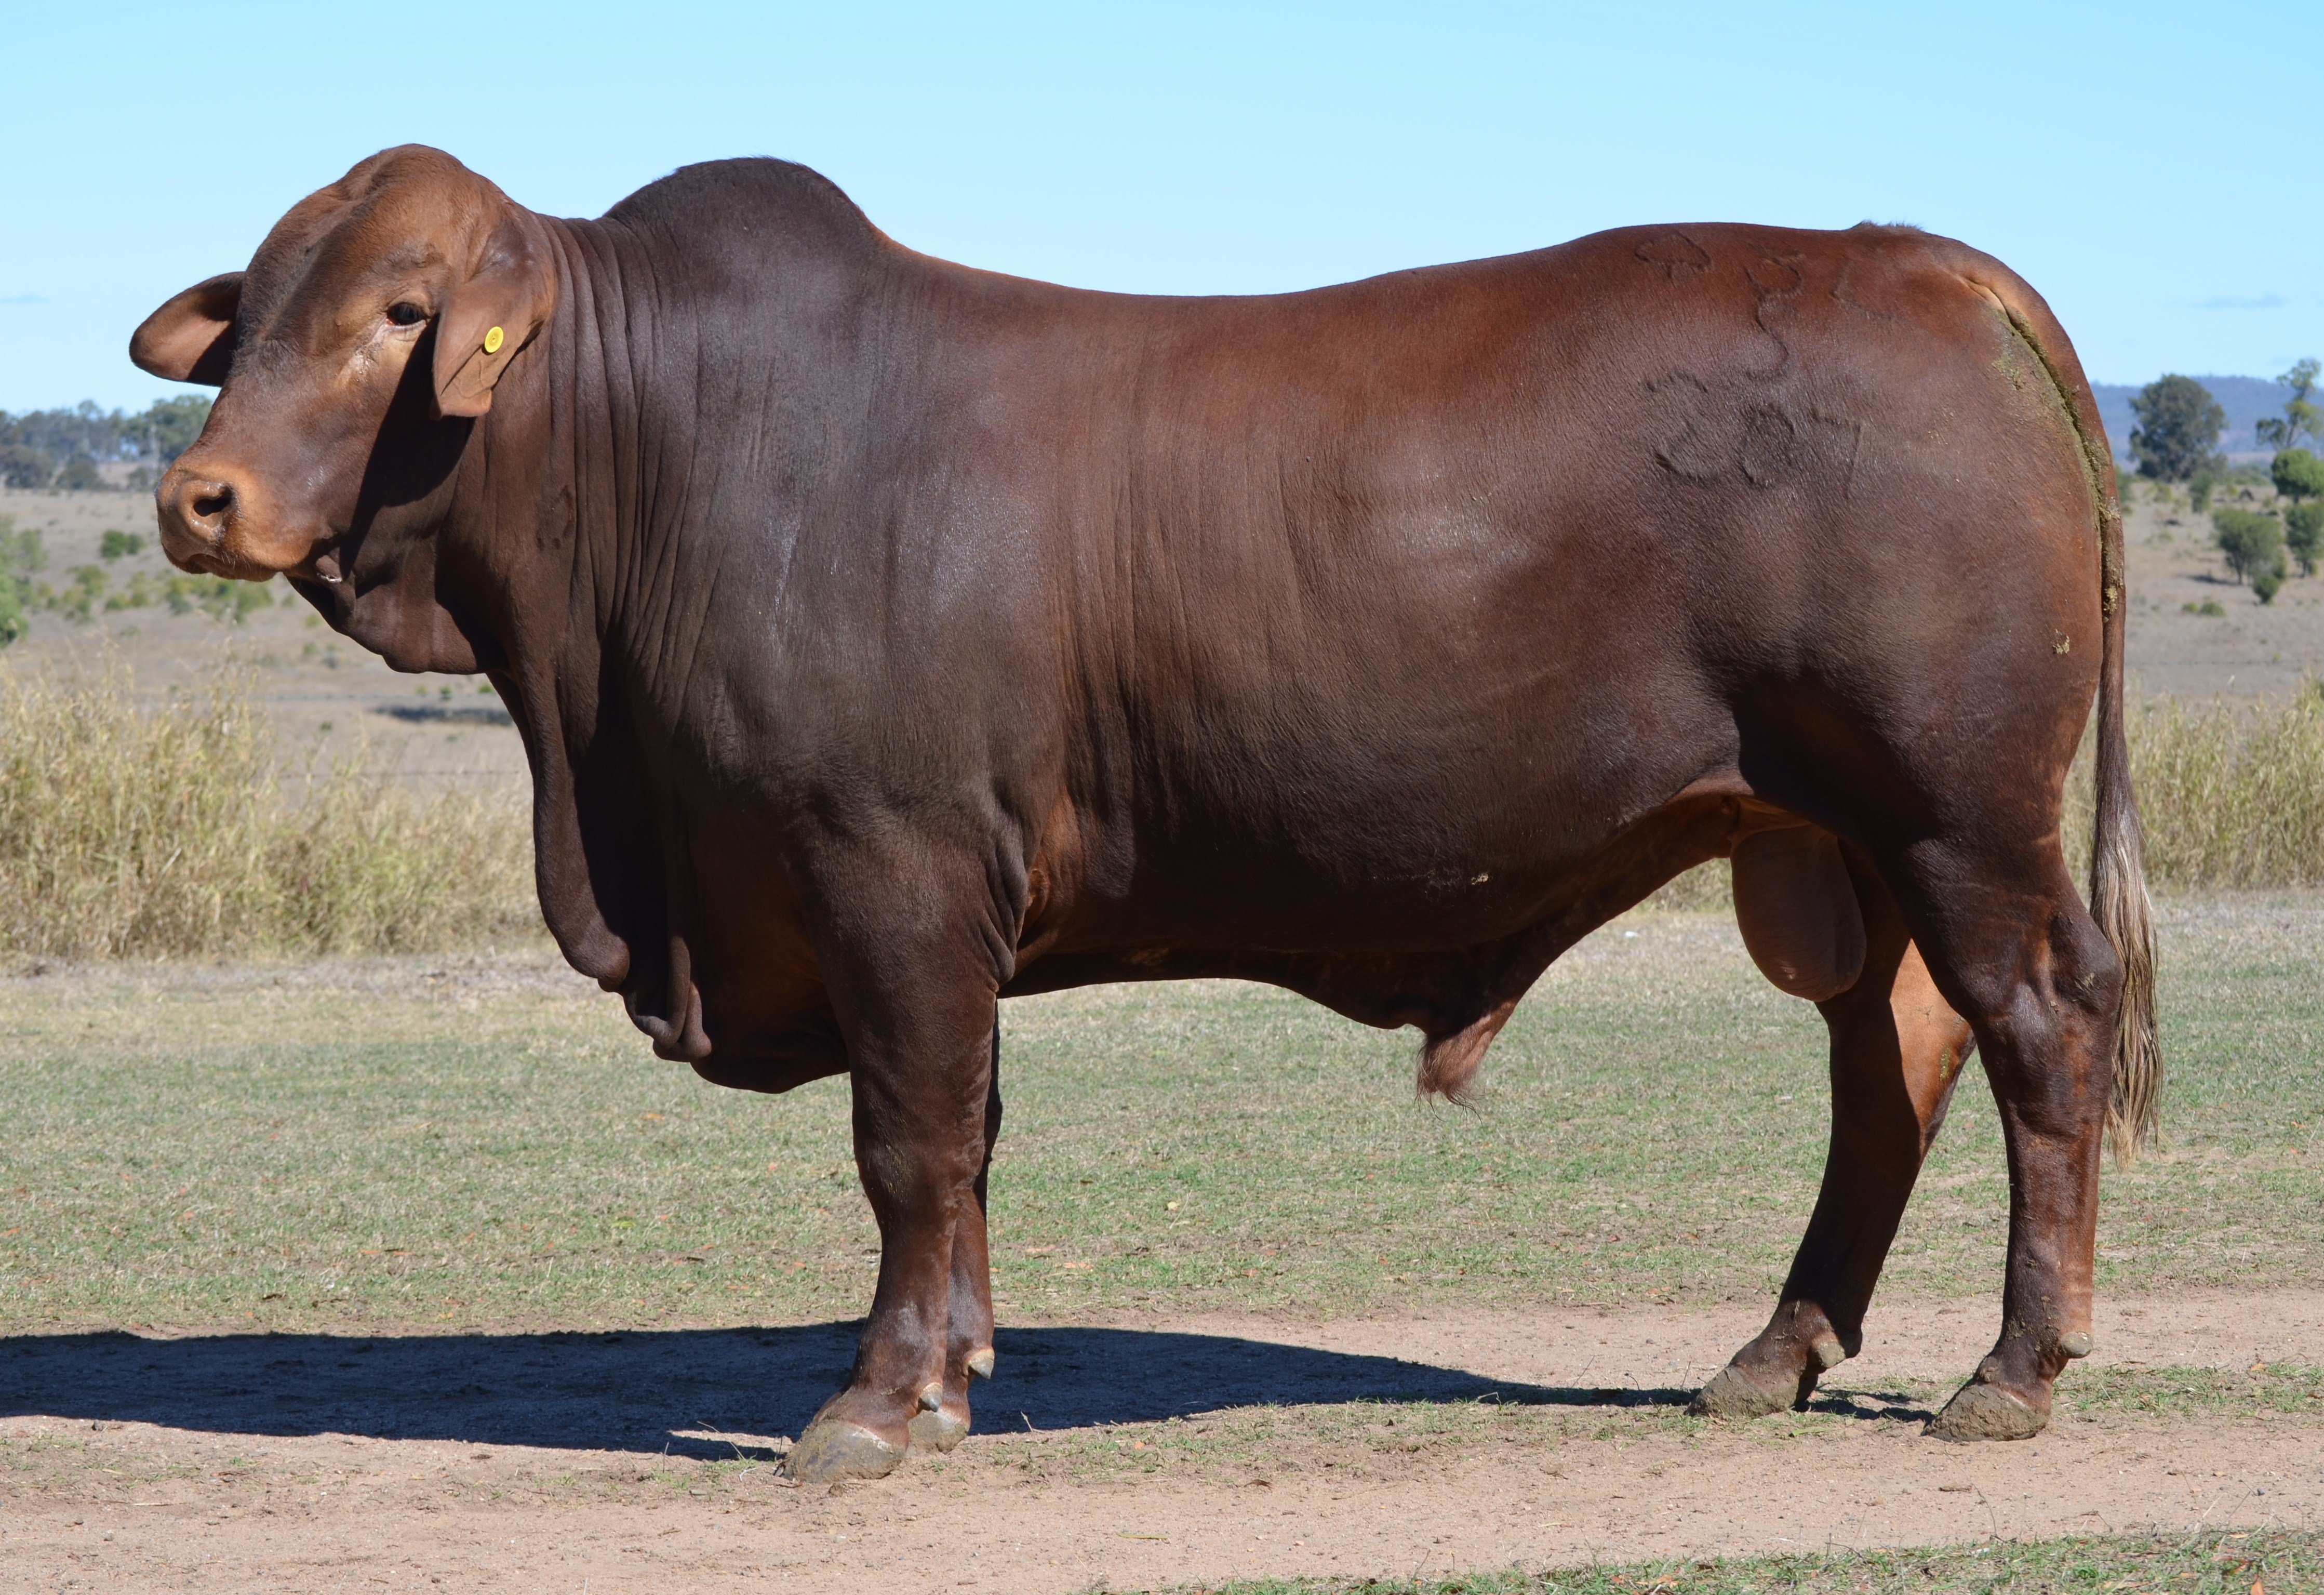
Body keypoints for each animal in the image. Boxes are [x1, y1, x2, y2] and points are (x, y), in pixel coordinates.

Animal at [133, 145, 2157, 1482]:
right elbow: (967, 1147)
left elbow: (910, 1143)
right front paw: (953, 1365)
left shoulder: (890, 871)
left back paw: (2015, 1369)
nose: (197, 498)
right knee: (1889, 1068)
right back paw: (1777, 1351)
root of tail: (1916, 260)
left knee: (2039, 1030)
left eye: (401, 314)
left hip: (1958, 812)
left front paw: (878, 1403)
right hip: (1835, 843)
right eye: (253, 317)